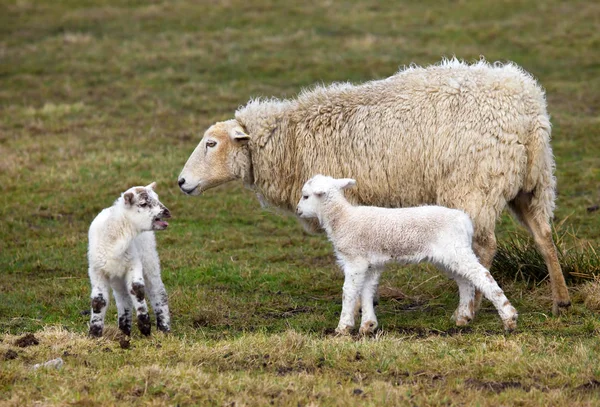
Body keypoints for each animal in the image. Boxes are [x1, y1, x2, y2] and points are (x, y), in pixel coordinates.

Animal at [88, 182, 175, 338]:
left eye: (157, 198)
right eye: (143, 204)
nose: (167, 212)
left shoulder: (134, 263)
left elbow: (137, 289)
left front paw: (145, 326)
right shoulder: (96, 270)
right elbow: (98, 301)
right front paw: (94, 334)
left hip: (149, 258)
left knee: (158, 291)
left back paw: (164, 328)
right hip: (116, 276)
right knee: (123, 298)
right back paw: (124, 330)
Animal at [177, 57, 568, 318]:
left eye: (211, 144)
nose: (181, 182)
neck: (290, 141)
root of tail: (528, 109)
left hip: (474, 185)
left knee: (483, 249)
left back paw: (468, 309)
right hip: (532, 185)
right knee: (543, 236)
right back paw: (560, 299)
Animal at [298, 175, 516, 334]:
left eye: (306, 196)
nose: (298, 210)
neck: (342, 219)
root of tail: (465, 220)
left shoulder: (355, 260)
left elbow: (349, 292)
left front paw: (343, 327)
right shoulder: (371, 263)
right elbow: (367, 291)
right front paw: (368, 325)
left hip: (456, 250)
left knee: (482, 276)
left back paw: (509, 317)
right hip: (449, 256)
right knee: (465, 281)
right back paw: (463, 317)